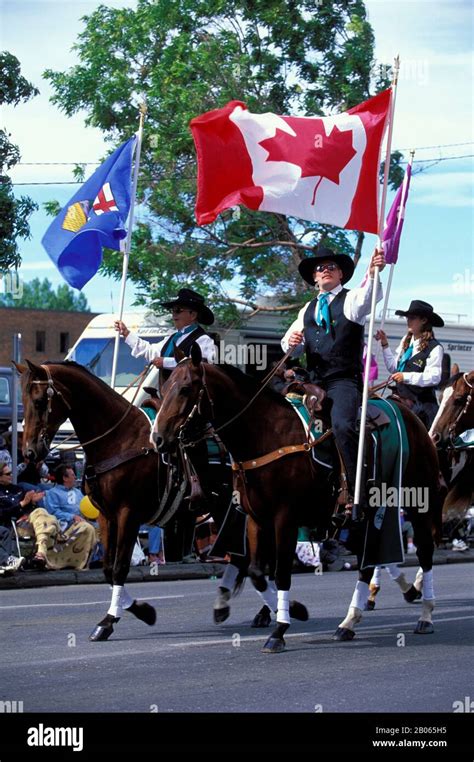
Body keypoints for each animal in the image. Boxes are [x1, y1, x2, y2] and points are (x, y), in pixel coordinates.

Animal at [153, 348, 444, 652]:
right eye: (164, 388)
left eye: (185, 388)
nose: (158, 438)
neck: (266, 435)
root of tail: (411, 416)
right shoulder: (256, 520)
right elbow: (257, 572)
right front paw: (293, 610)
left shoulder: (285, 520)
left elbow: (280, 572)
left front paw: (279, 629)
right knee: (367, 562)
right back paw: (350, 621)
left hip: (417, 501)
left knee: (424, 552)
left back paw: (425, 614)